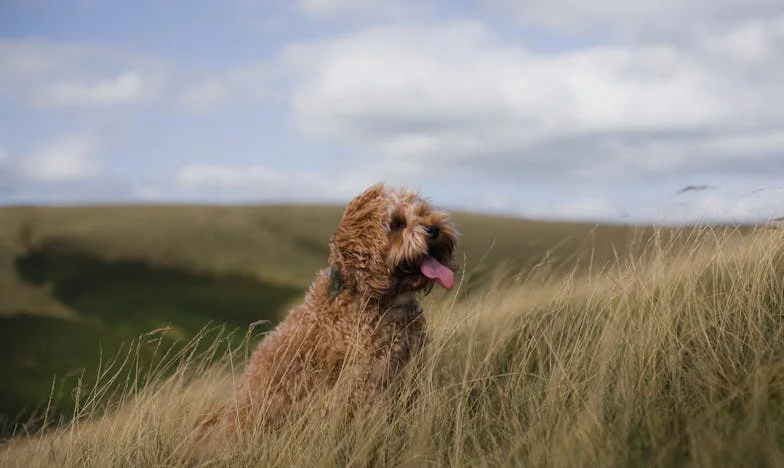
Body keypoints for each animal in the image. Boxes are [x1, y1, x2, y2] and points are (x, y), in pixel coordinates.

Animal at [205, 182, 456, 432]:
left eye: (423, 213)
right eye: (397, 223)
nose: (434, 229)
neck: (380, 299)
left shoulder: (409, 373)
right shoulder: (364, 382)